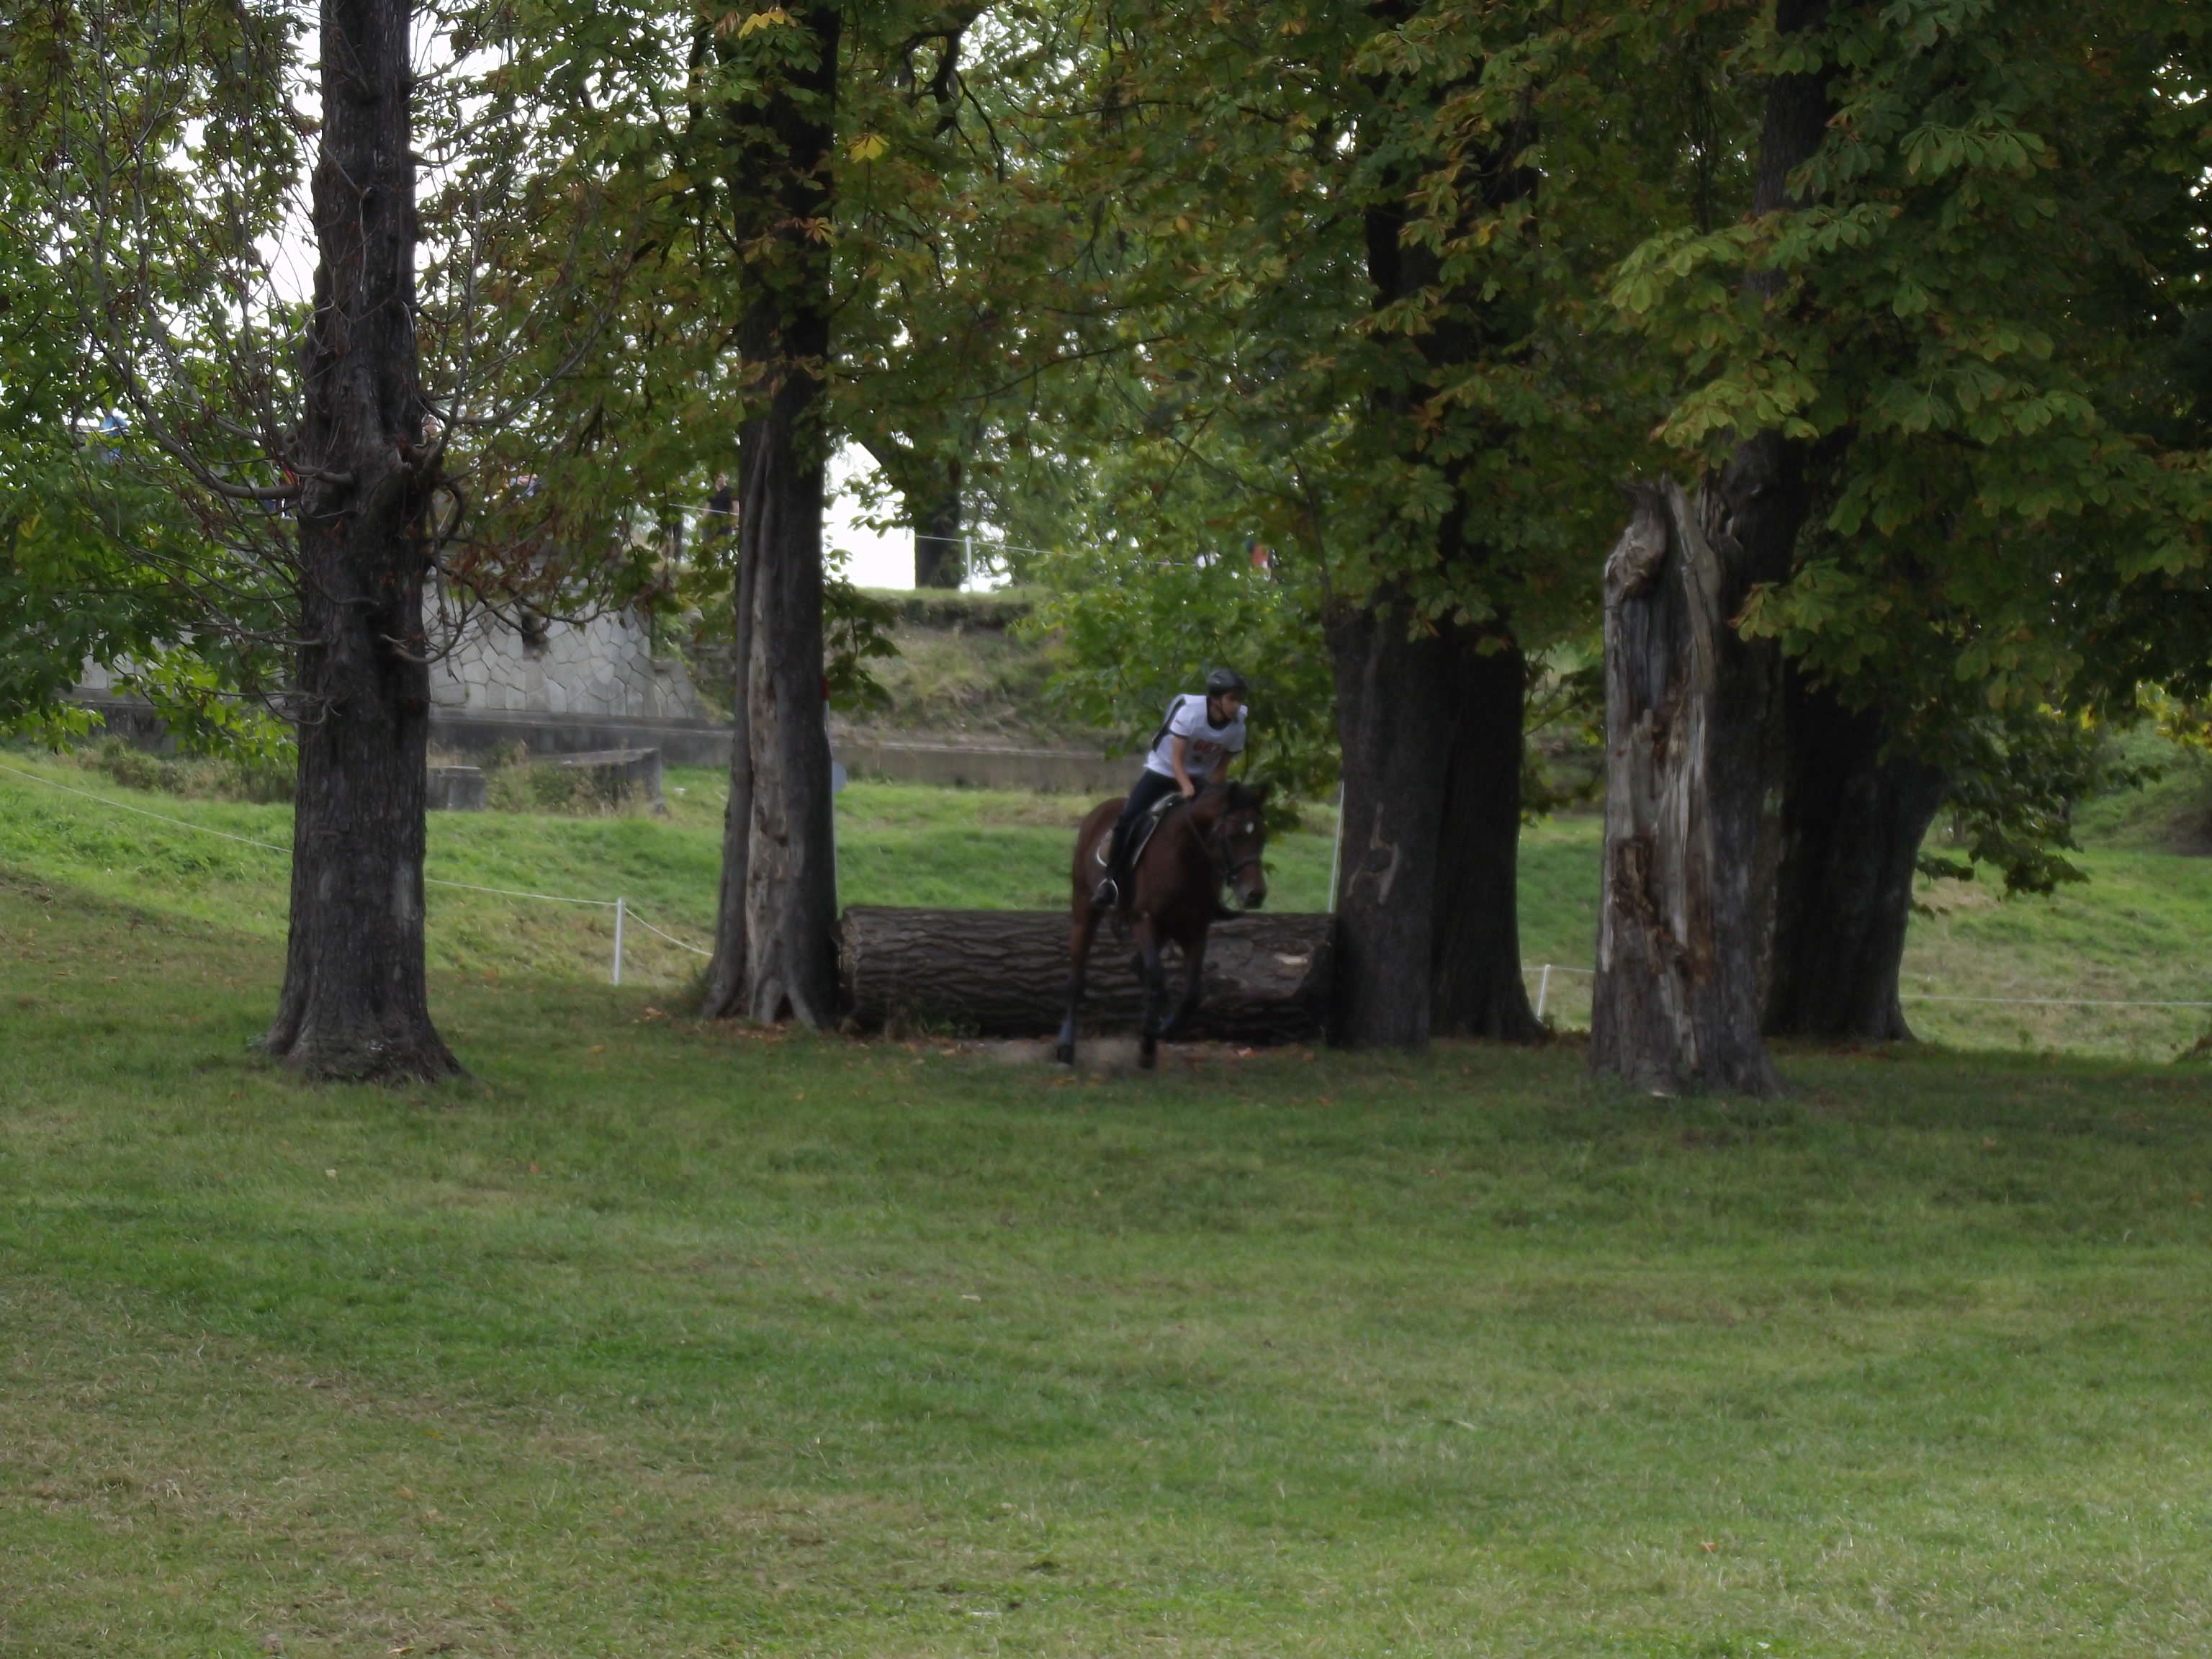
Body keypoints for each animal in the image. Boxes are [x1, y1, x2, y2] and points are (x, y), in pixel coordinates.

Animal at [1057, 783, 1274, 1070]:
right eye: (1232, 836)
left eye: (1262, 836)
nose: (1255, 894)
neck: (1188, 856)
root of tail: (1100, 810)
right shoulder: (1146, 920)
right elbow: (1157, 977)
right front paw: (1152, 1030)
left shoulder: (1195, 929)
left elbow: (1190, 994)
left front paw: (1155, 1034)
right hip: (1085, 907)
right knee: (1078, 978)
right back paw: (1066, 1046)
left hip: (1165, 930)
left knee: (1138, 965)